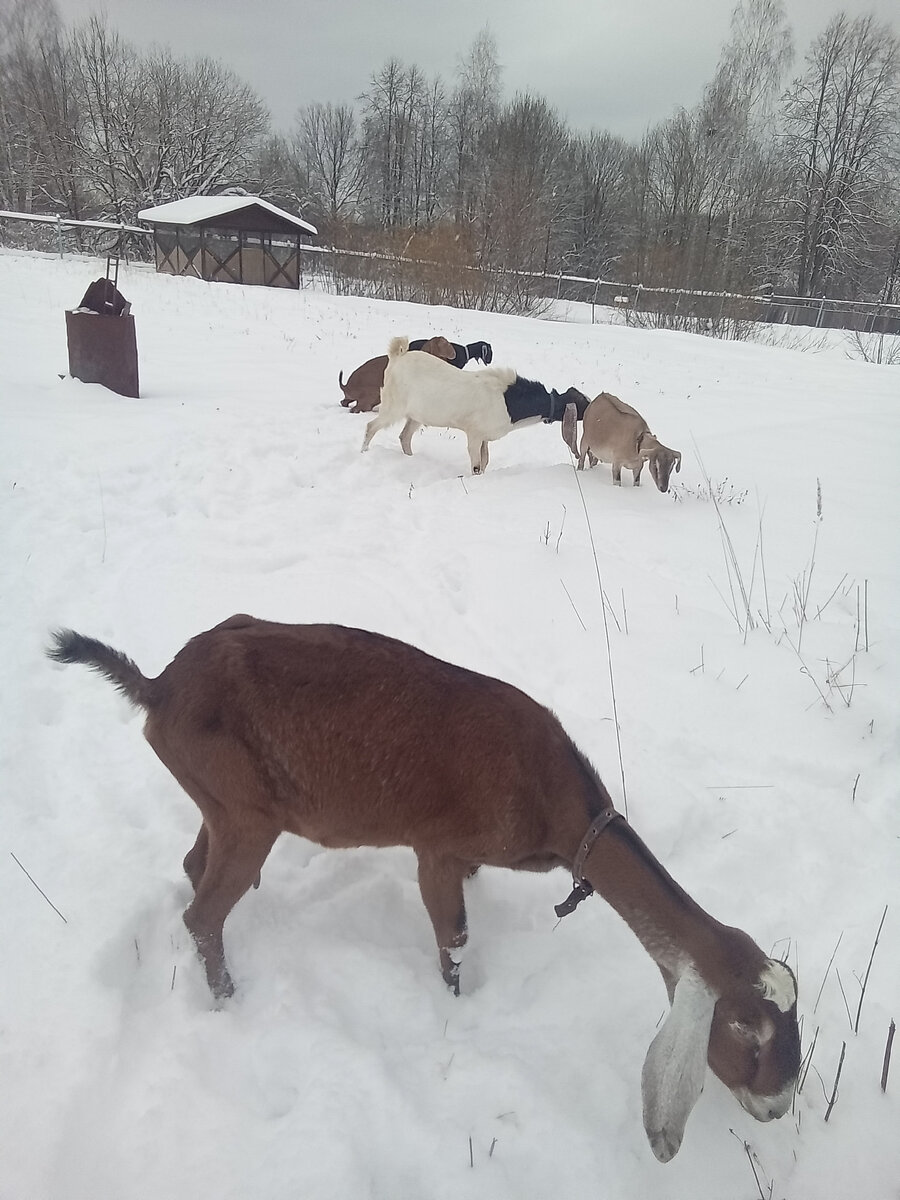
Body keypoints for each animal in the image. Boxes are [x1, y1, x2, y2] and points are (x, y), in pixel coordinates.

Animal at [45, 614, 801, 1156]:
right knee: (203, 912)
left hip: (223, 805)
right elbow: (454, 938)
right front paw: (457, 1013)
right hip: (246, 808)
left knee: (192, 868)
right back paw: (229, 998)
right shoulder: (434, 847)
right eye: (747, 1031)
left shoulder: (462, 854)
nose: (780, 1105)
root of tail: (159, 687)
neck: (556, 804)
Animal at [362, 336, 588, 475]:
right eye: (583, 403)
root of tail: (397, 356)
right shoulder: (474, 434)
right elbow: (477, 464)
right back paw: (364, 452)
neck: (508, 399)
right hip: (394, 405)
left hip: (417, 415)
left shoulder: (485, 436)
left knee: (404, 437)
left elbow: (485, 460)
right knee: (372, 426)